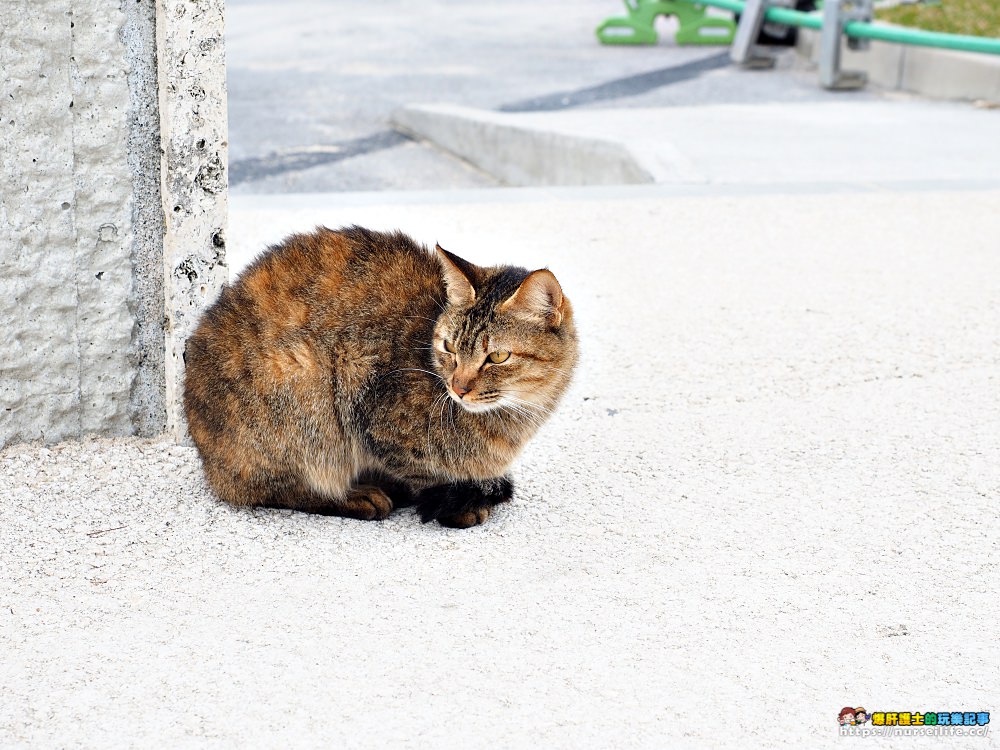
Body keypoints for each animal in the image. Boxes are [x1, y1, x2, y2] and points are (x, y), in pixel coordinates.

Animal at [184, 228, 580, 528]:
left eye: (497, 357)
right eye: (450, 348)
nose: (458, 387)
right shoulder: (368, 399)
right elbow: (424, 473)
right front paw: (458, 503)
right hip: (305, 389)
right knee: (266, 489)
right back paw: (356, 497)